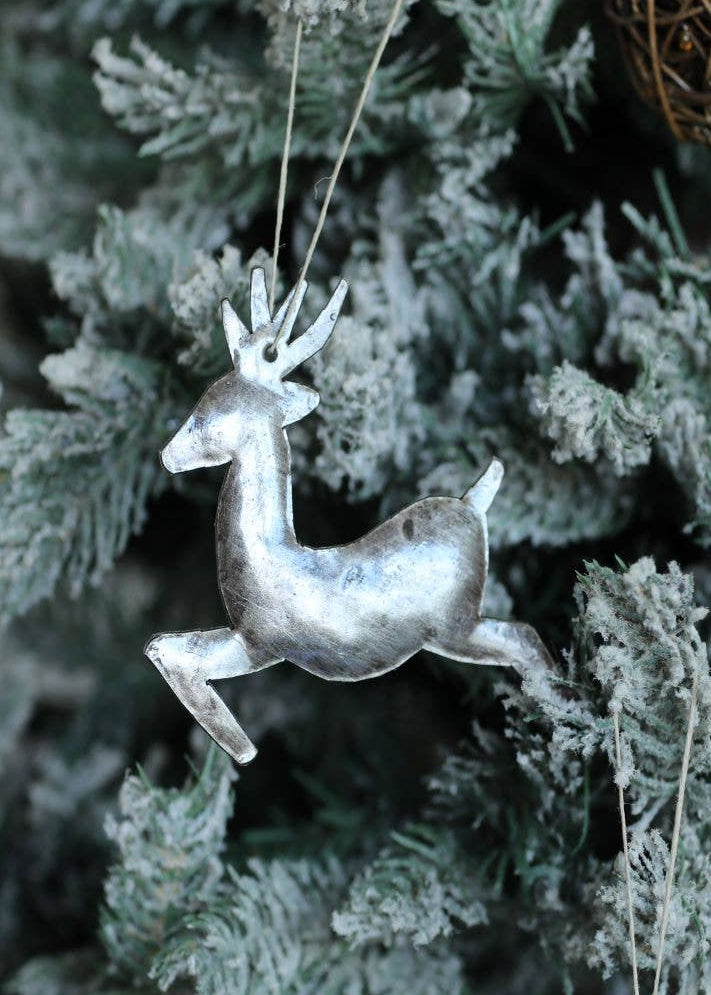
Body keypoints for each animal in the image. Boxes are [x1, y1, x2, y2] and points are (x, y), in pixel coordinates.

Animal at [144, 268, 551, 764]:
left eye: (210, 414)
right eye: (200, 402)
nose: (166, 456)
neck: (271, 555)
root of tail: (475, 503)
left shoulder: (260, 639)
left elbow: (168, 652)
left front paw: (240, 749)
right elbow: (163, 648)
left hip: (455, 623)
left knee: (525, 637)